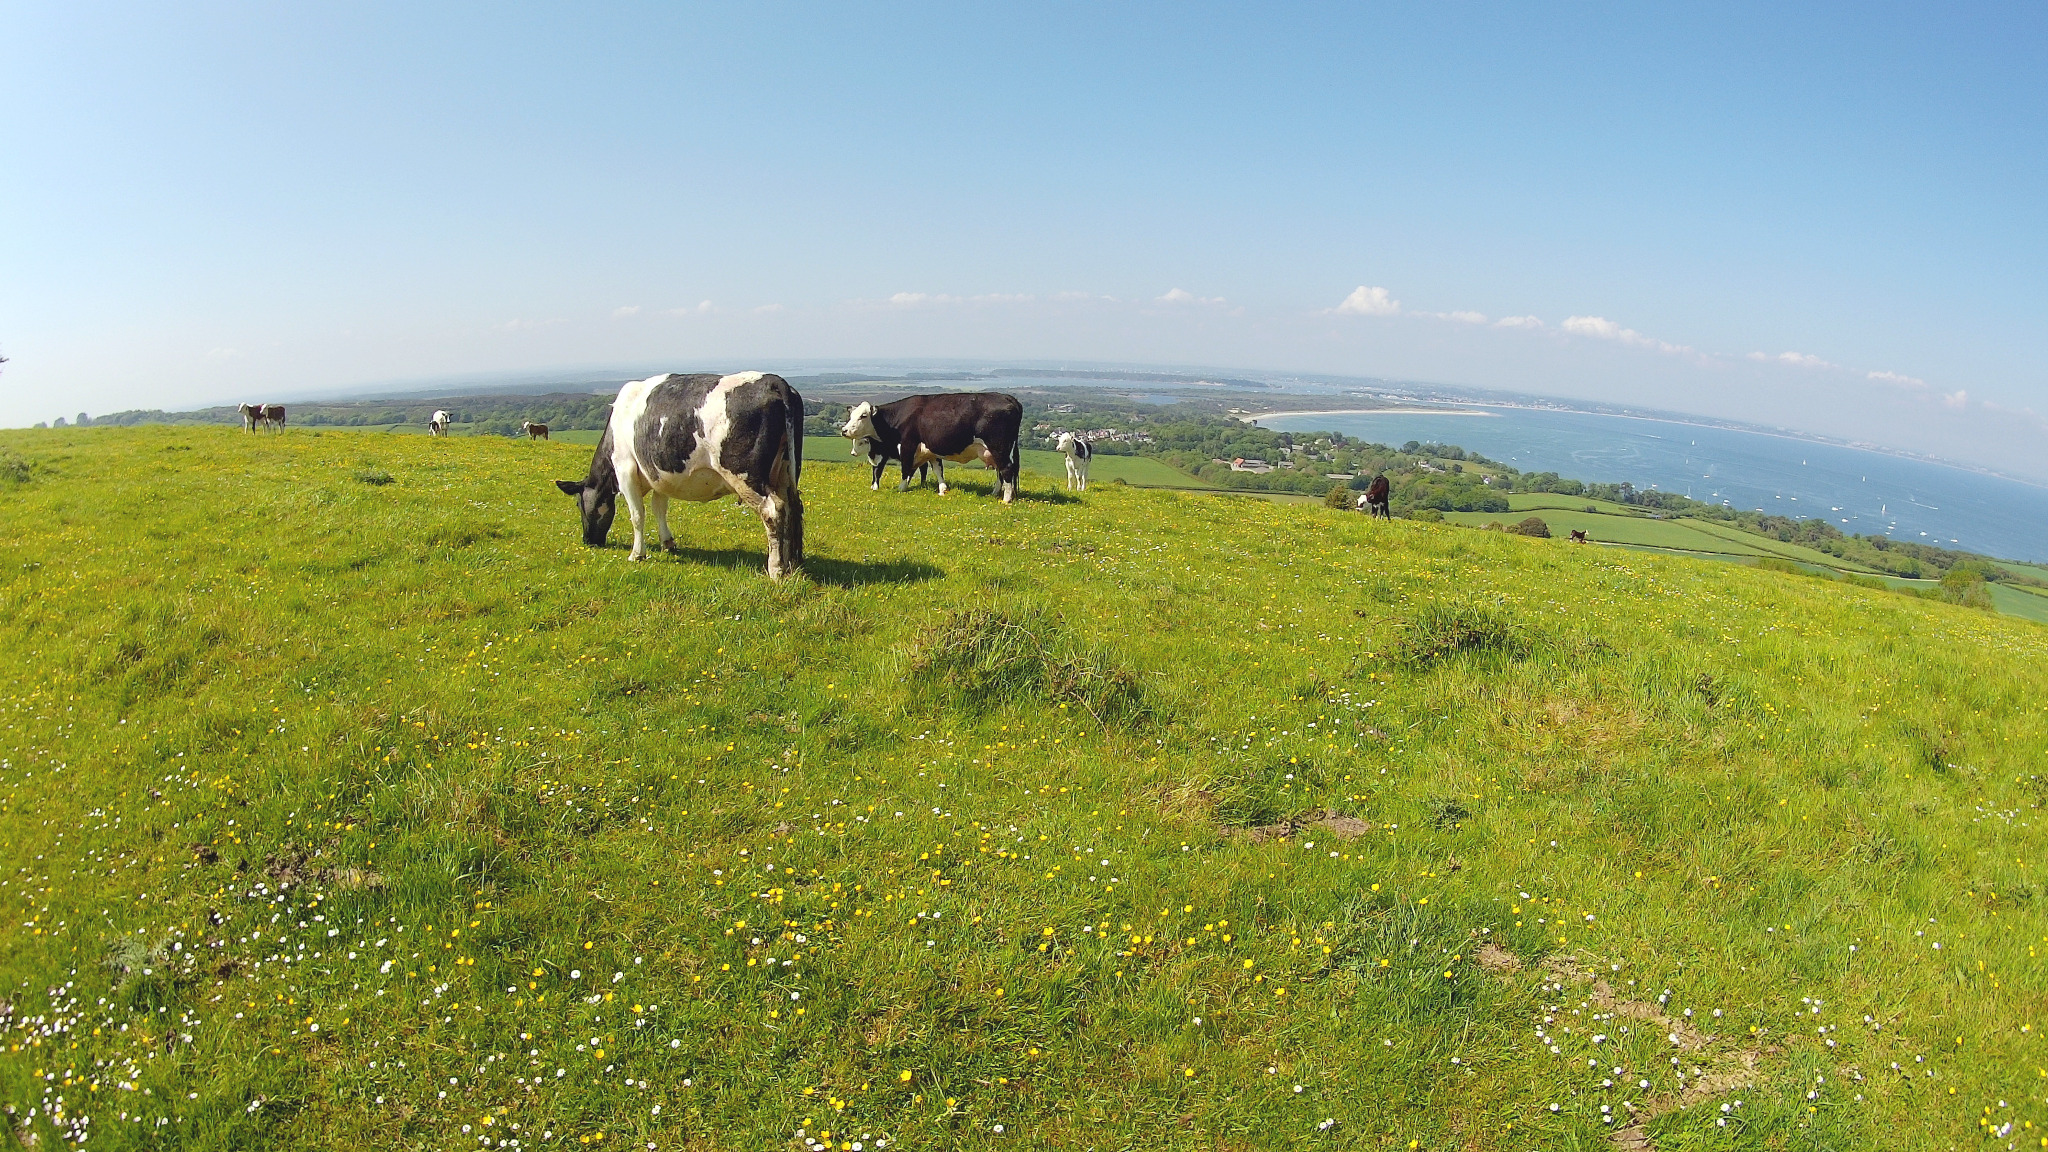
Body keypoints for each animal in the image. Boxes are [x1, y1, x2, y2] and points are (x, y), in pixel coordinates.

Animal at [554, 372, 804, 579]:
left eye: (578, 505)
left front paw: (637, 554)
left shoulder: (625, 468)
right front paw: (668, 543)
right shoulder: (659, 475)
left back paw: (776, 570)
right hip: (785, 472)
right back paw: (792, 565)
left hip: (745, 476)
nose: (588, 541)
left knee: (773, 511)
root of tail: (773, 381)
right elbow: (659, 508)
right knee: (792, 508)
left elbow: (637, 514)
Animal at [839, 392, 1024, 503]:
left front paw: (902, 488)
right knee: (1001, 471)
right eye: (851, 415)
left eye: (863, 416)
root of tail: (1008, 398)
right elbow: (937, 470)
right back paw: (995, 493)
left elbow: (905, 468)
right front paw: (942, 489)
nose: (844, 430)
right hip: (998, 450)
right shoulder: (931, 450)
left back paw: (1006, 499)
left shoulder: (907, 445)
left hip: (998, 447)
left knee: (1006, 469)